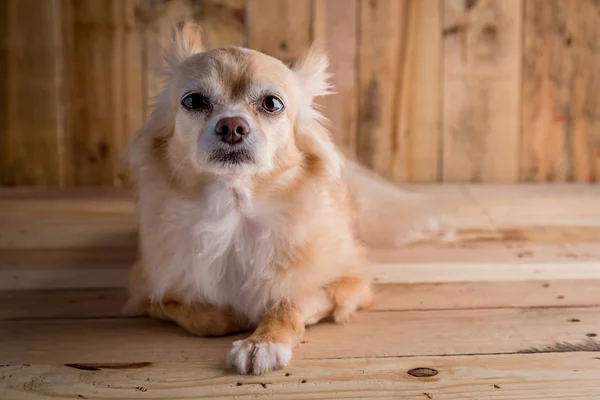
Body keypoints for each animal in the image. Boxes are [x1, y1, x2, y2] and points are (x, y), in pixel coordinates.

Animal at [123, 21, 450, 376]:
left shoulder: (350, 285)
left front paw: (263, 343)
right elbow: (200, 317)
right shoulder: (145, 292)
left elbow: (289, 301)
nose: (232, 126)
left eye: (272, 104)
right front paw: (231, 316)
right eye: (193, 101)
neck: (235, 212)